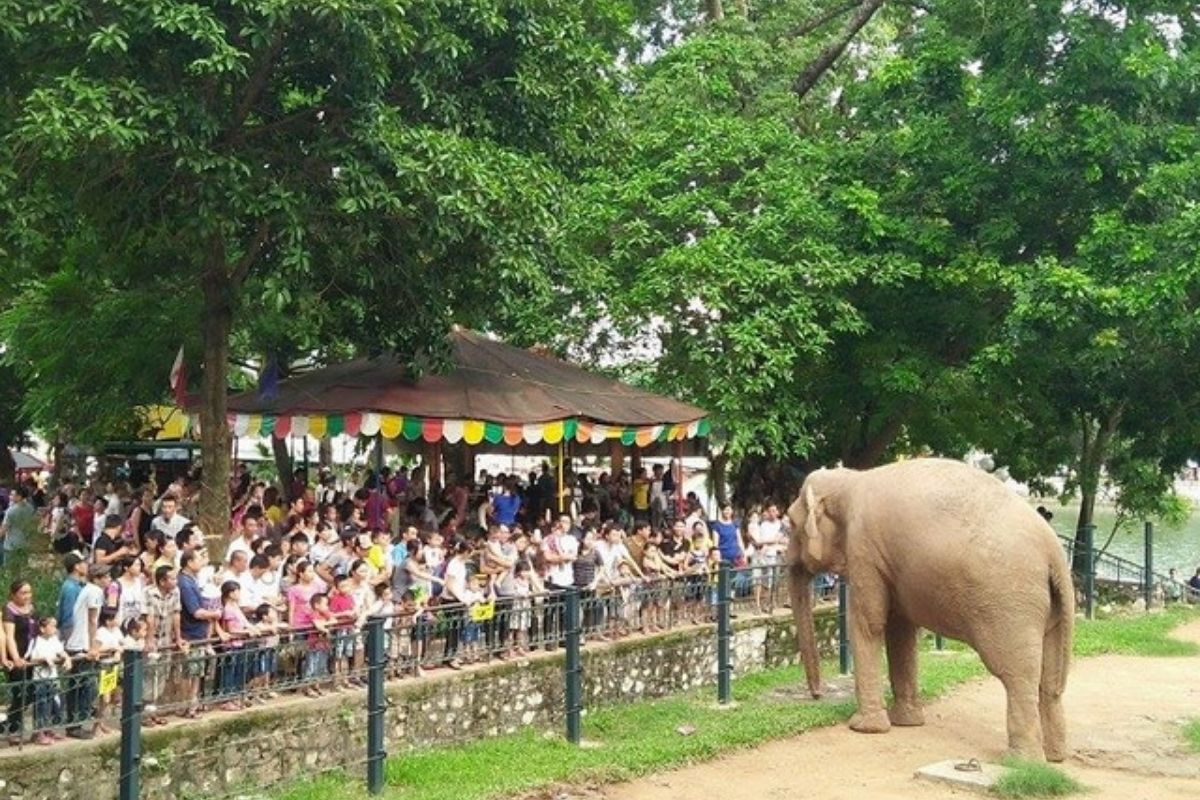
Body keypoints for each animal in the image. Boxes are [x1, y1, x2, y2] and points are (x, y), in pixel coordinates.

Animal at [787, 460, 1080, 762]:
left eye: (790, 522)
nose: (817, 695)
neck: (850, 479)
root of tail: (1055, 553)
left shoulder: (863, 548)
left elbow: (870, 624)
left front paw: (864, 728)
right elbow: (901, 631)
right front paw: (907, 722)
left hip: (1011, 604)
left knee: (1017, 675)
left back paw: (1020, 761)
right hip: (1051, 607)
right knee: (1050, 680)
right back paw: (1055, 756)